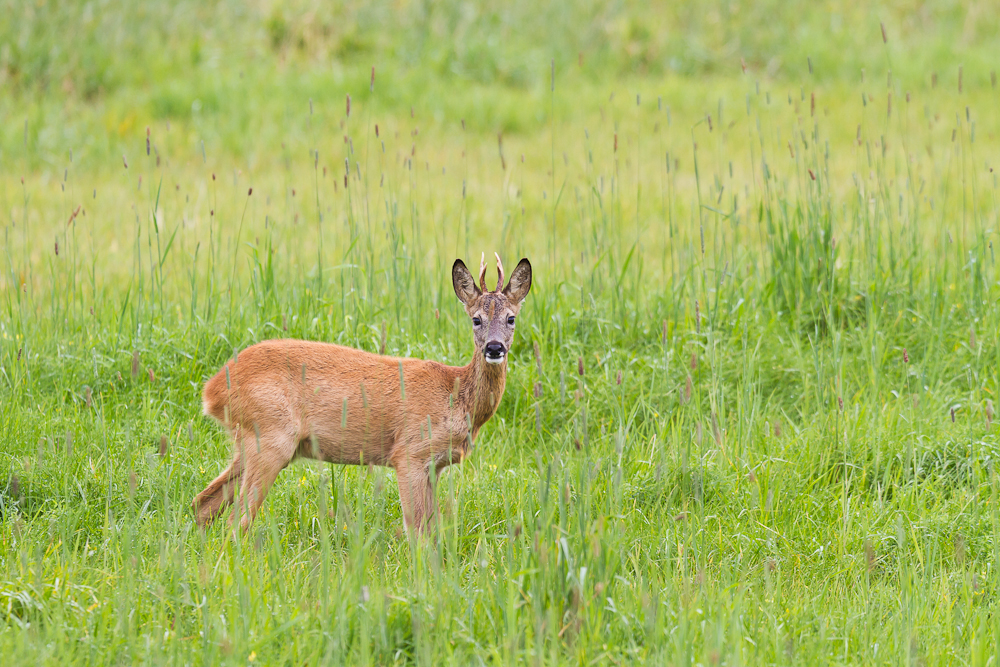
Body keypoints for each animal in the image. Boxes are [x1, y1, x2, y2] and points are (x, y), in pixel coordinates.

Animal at [189, 253, 532, 536]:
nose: (494, 348)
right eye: (476, 319)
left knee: (203, 503)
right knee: (236, 521)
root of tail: (212, 390)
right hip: (271, 434)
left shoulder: (435, 465)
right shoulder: (409, 453)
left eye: (511, 318)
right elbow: (418, 532)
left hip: (251, 441)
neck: (457, 394)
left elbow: (432, 530)